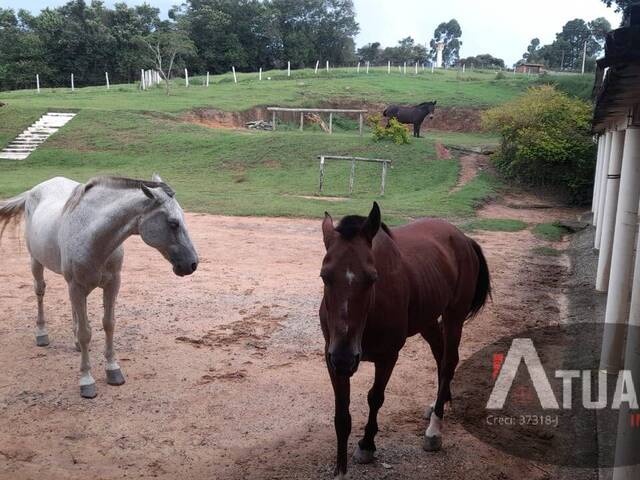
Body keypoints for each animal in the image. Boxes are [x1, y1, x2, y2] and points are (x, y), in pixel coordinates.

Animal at [0, 175, 198, 398]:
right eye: (173, 223)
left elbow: (108, 324)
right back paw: (41, 334)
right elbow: (86, 333)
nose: (192, 264)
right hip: (36, 263)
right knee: (40, 292)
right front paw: (86, 380)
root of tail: (34, 190)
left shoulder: (112, 285)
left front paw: (113, 370)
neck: (92, 236)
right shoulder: (77, 287)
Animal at [320, 202, 490, 476]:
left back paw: (435, 429)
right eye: (325, 276)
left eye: (373, 278)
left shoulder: (388, 356)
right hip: (428, 320)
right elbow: (342, 414)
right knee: (441, 354)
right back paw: (441, 401)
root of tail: (463, 238)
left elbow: (375, 398)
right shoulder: (332, 358)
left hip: (454, 315)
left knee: (448, 362)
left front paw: (367, 445)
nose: (345, 358)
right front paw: (341, 471)